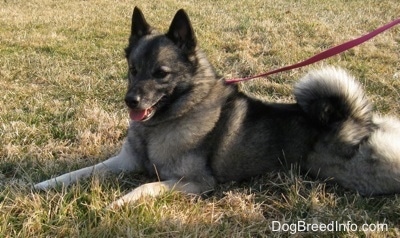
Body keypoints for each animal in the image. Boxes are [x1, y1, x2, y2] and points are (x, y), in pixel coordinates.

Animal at [33, 6, 400, 206]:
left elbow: (146, 185)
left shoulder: (196, 183)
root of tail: (352, 121)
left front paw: (119, 202)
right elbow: (81, 172)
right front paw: (44, 185)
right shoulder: (122, 162)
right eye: (133, 70)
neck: (168, 120)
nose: (130, 100)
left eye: (161, 73)